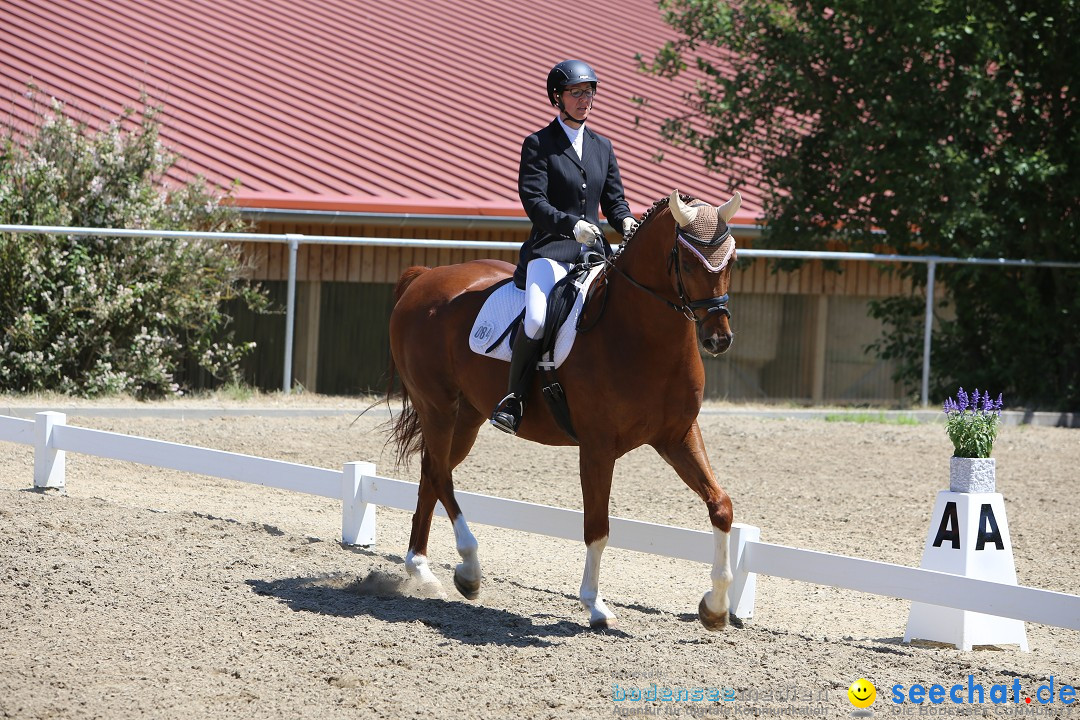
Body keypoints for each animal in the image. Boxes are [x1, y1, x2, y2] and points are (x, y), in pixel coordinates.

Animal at [384, 189, 738, 630]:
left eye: (732, 260)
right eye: (688, 262)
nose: (718, 339)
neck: (640, 334)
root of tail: (425, 277)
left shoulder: (678, 436)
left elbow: (721, 506)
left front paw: (716, 608)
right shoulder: (598, 447)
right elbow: (597, 527)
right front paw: (595, 605)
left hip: (465, 417)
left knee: (432, 472)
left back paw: (421, 568)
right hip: (438, 407)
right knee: (438, 474)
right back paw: (469, 570)